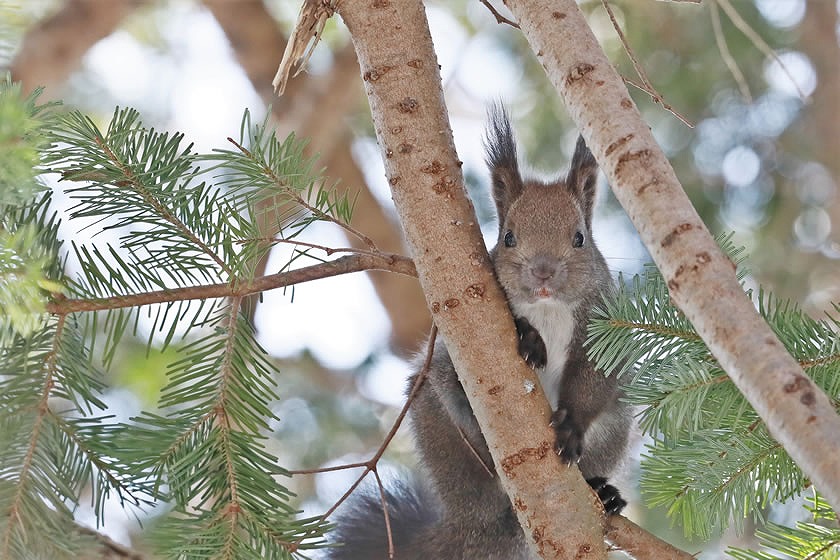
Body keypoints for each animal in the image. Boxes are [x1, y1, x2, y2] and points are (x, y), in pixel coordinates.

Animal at [324, 104, 632, 556]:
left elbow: (594, 379)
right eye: (507, 238)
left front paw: (571, 426)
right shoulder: (454, 341)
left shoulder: (603, 330)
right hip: (440, 422)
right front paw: (527, 335)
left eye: (580, 238)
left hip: (615, 427)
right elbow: (460, 365)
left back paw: (603, 493)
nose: (543, 272)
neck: (548, 308)